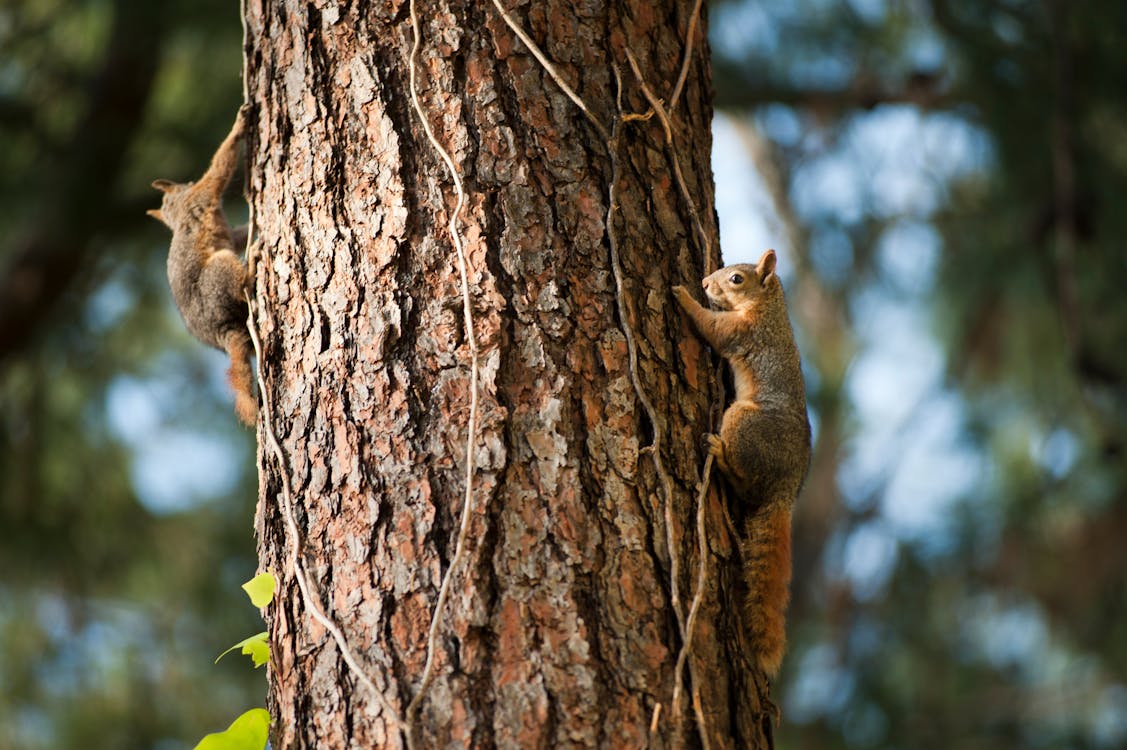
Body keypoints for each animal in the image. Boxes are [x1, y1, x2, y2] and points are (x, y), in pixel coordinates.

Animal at [146, 106, 256, 426]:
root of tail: (221, 329)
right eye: (186, 183)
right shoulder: (205, 193)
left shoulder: (226, 230)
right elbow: (220, 166)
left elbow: (238, 234)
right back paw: (253, 264)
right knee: (239, 284)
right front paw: (239, 125)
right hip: (218, 272)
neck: (178, 211)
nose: (187, 182)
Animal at [671, 251, 815, 676]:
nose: (704, 283)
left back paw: (719, 456)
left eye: (736, 279)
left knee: (742, 481)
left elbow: (710, 329)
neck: (768, 306)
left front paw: (684, 297)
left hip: (739, 420)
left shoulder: (741, 332)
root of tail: (786, 490)